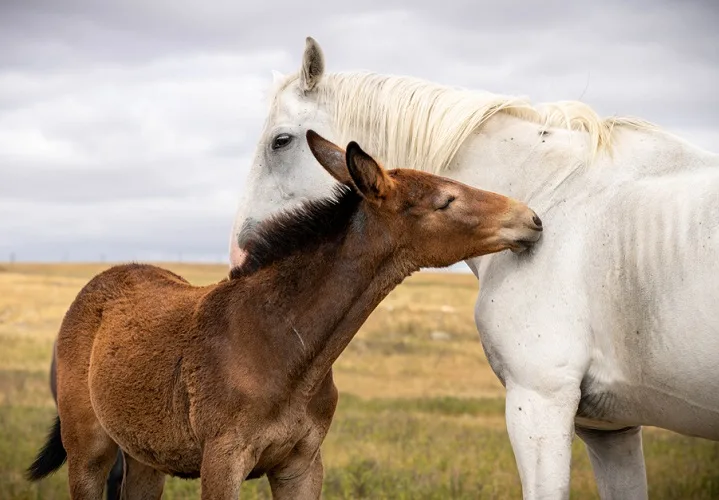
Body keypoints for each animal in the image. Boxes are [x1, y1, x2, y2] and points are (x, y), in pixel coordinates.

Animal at [31, 131, 544, 498]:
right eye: (446, 201)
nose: (532, 219)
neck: (286, 349)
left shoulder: (302, 464)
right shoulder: (222, 461)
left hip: (144, 457)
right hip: (89, 451)